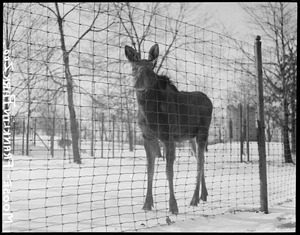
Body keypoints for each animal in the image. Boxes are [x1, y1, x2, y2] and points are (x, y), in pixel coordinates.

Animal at [125, 43, 213, 214]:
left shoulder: (168, 136)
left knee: (200, 163)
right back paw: (203, 195)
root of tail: (209, 101)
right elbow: (150, 170)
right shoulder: (147, 137)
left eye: (151, 68)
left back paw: (194, 199)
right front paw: (147, 204)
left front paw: (173, 206)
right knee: (201, 160)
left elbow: (169, 172)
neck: (149, 113)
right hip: (190, 138)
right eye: (133, 67)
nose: (138, 84)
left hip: (203, 132)